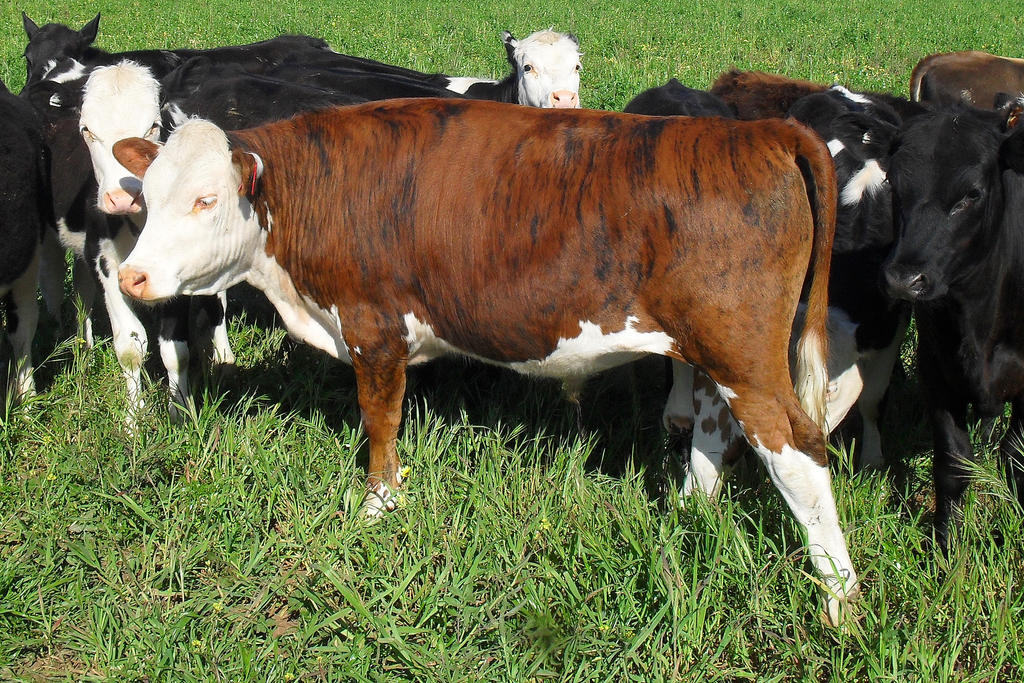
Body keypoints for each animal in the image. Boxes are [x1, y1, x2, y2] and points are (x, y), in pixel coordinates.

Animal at [111, 99, 859, 622]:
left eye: (205, 200)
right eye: (147, 196)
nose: (132, 277)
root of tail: (761, 132)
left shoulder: (374, 326)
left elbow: (380, 422)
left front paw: (378, 507)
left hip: (746, 355)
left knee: (798, 451)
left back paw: (839, 598)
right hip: (713, 351)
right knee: (712, 426)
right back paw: (687, 514)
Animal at [883, 105, 1024, 550]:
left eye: (971, 194)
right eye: (893, 183)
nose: (903, 280)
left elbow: (1016, 458)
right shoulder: (937, 370)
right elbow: (952, 465)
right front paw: (946, 545)